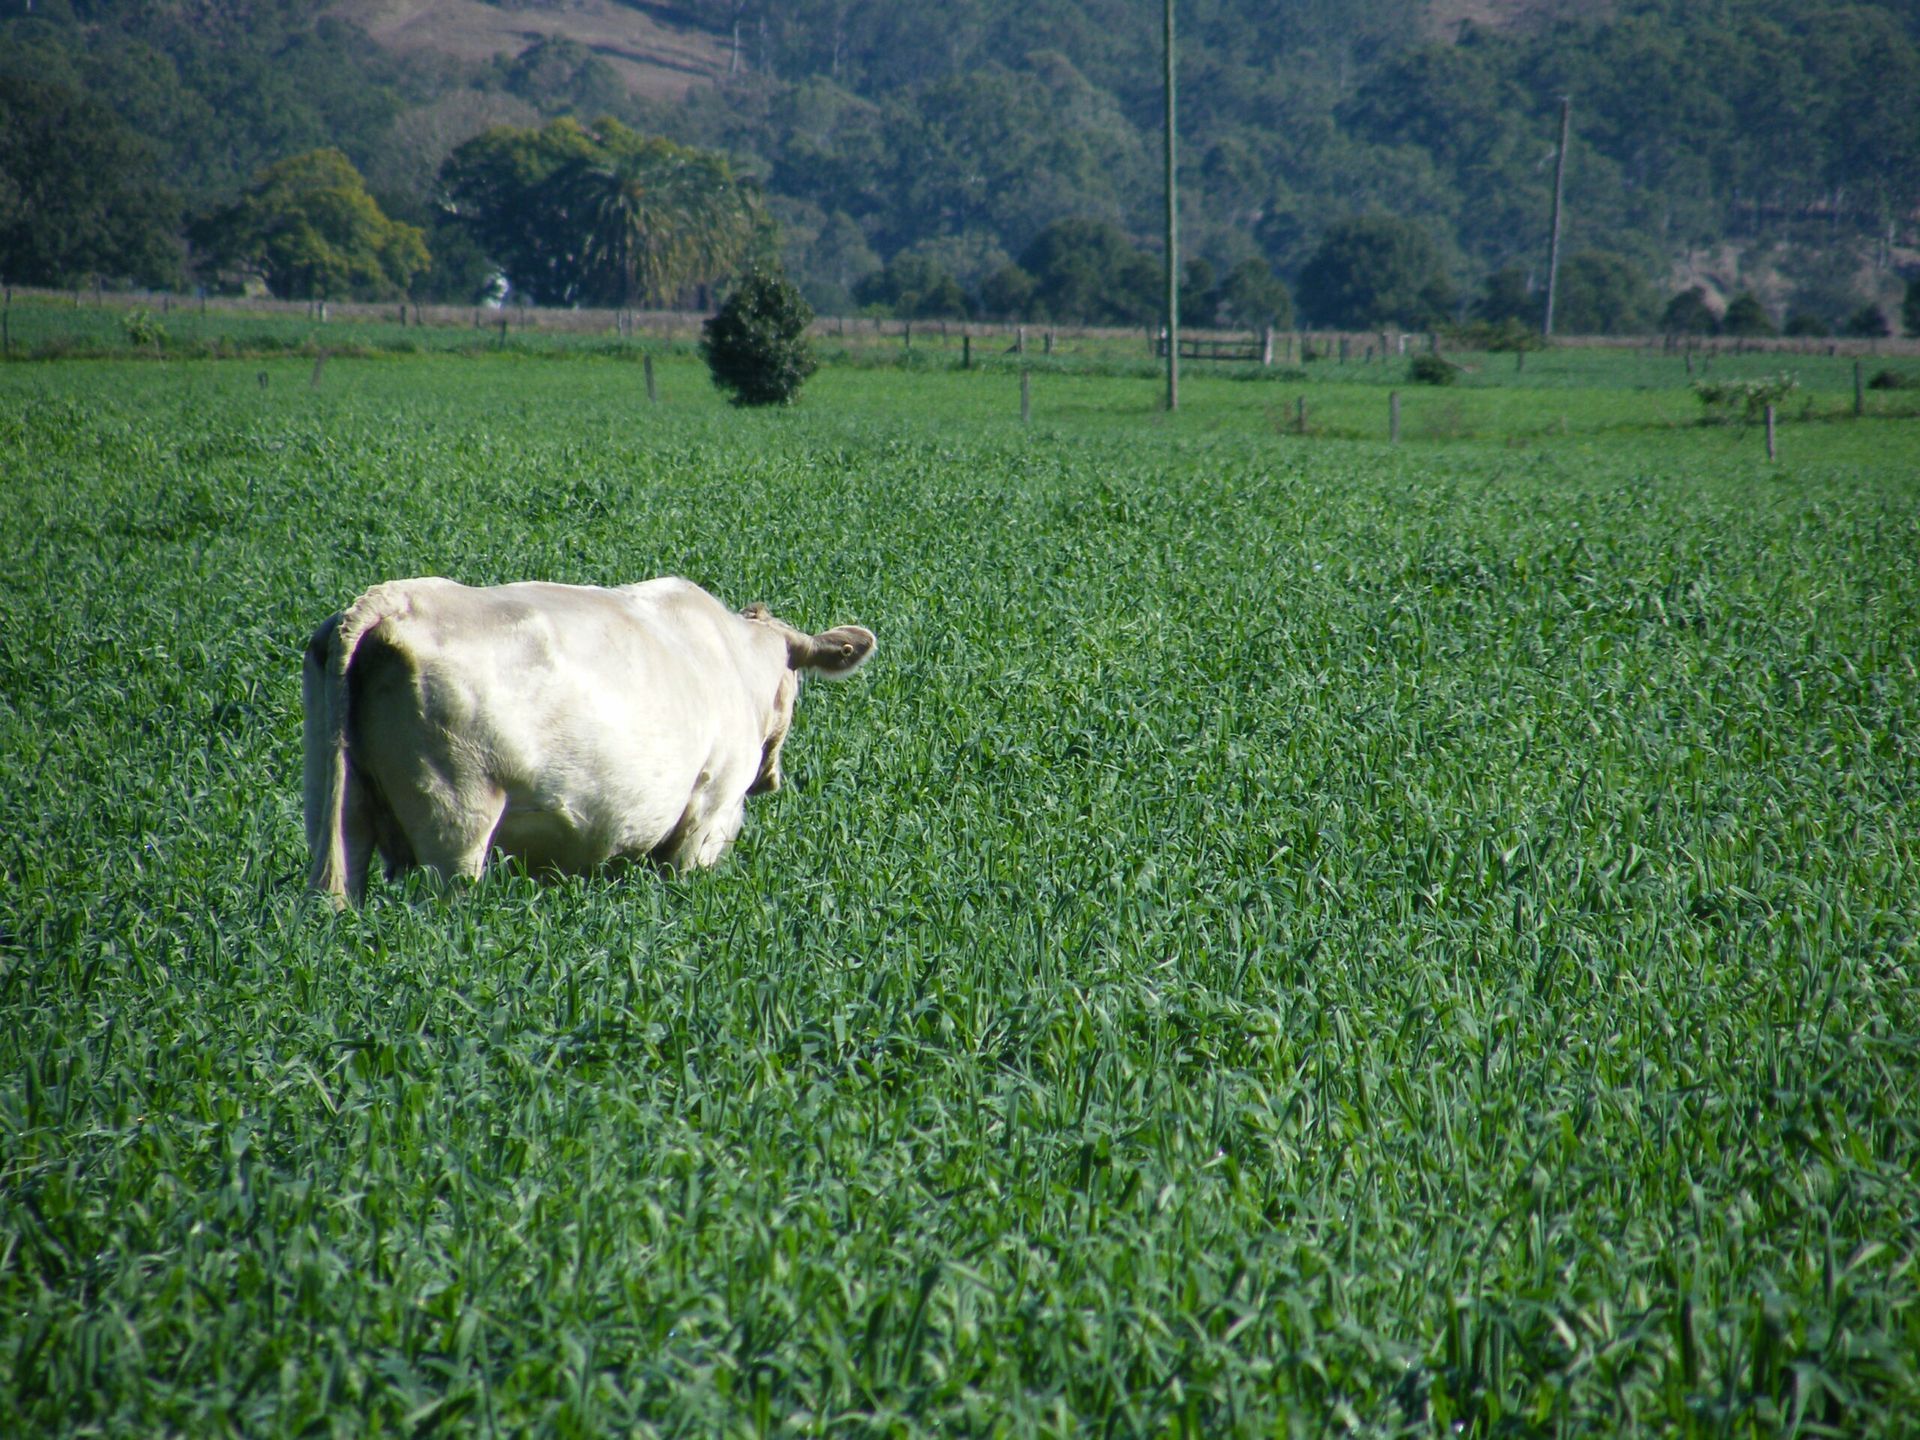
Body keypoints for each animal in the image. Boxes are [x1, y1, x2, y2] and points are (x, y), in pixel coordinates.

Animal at [302, 576, 875, 905]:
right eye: (793, 686)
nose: (770, 778)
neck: (738, 657)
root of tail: (394, 599)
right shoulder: (708, 816)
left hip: (337, 809)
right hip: (456, 822)